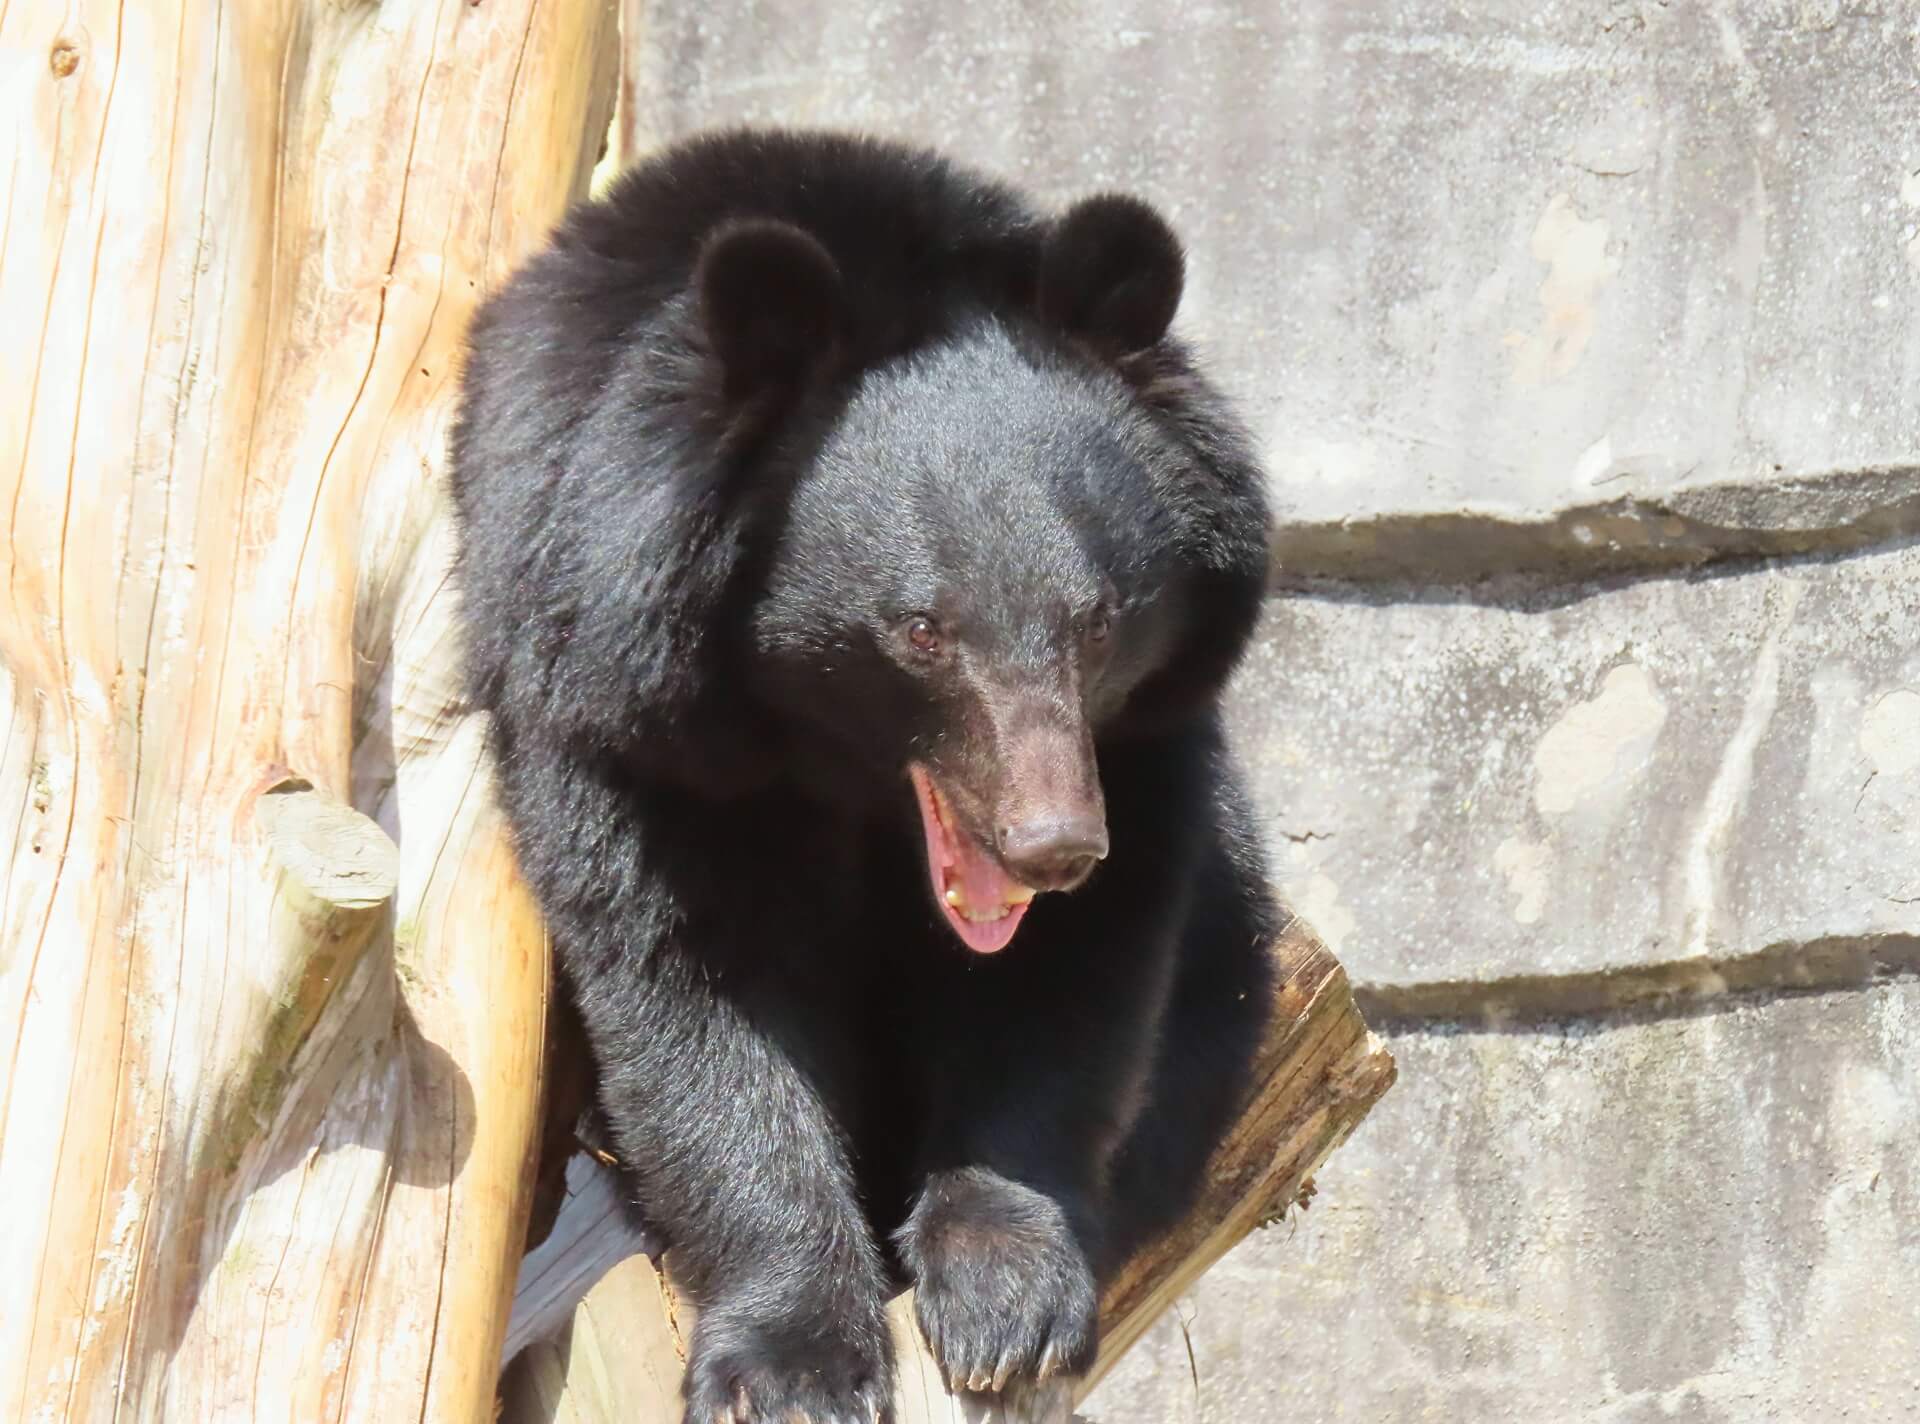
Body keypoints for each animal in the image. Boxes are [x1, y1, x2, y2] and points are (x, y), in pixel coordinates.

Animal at [447, 128, 1274, 1420]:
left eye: (1096, 622)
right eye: (923, 630)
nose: (1052, 844)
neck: (829, 760)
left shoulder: (1140, 743)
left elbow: (1073, 980)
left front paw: (1007, 1306)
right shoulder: (614, 707)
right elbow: (693, 990)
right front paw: (791, 1365)